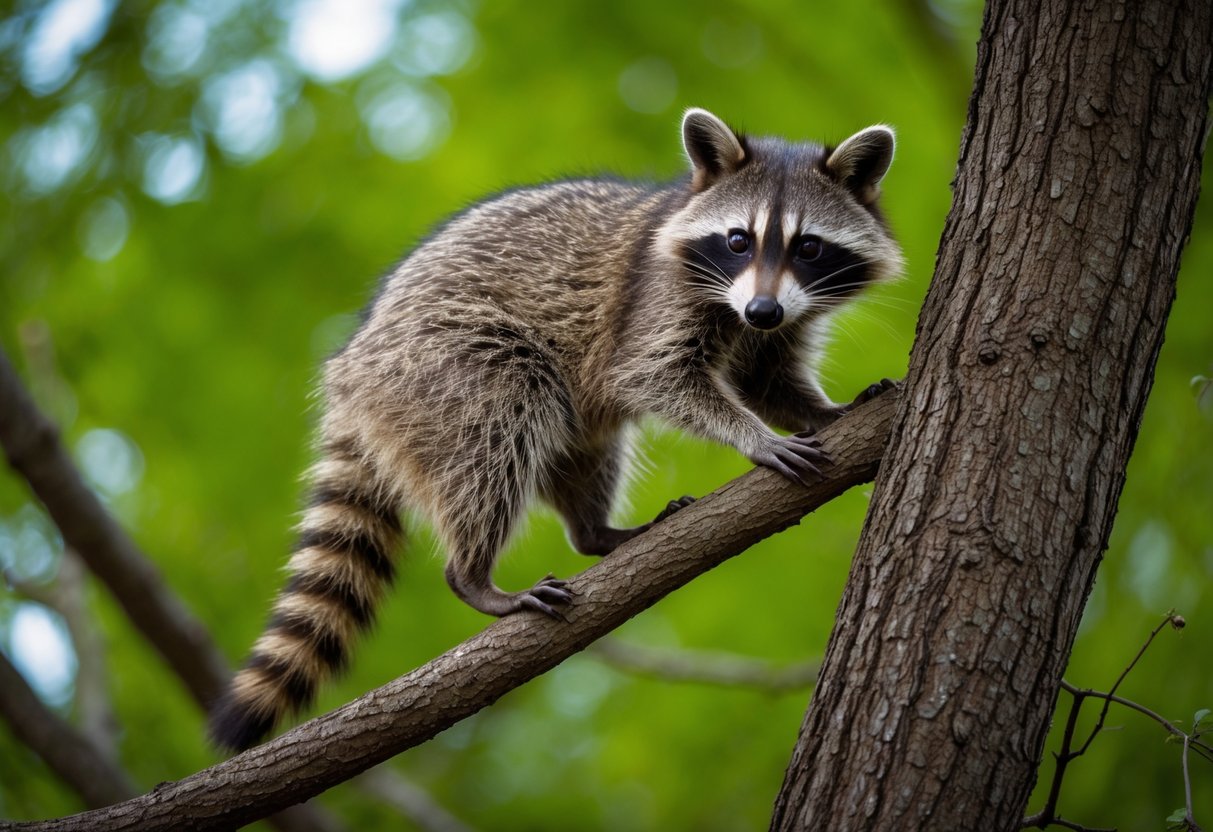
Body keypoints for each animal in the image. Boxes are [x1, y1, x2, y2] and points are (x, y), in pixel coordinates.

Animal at [209, 108, 902, 750]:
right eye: (738, 239)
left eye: (808, 246)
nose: (761, 309)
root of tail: (351, 368)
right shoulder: (656, 298)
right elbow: (652, 376)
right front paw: (752, 435)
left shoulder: (777, 319)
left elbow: (768, 378)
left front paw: (825, 410)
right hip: (444, 365)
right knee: (506, 417)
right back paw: (474, 575)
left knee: (586, 448)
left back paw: (596, 532)